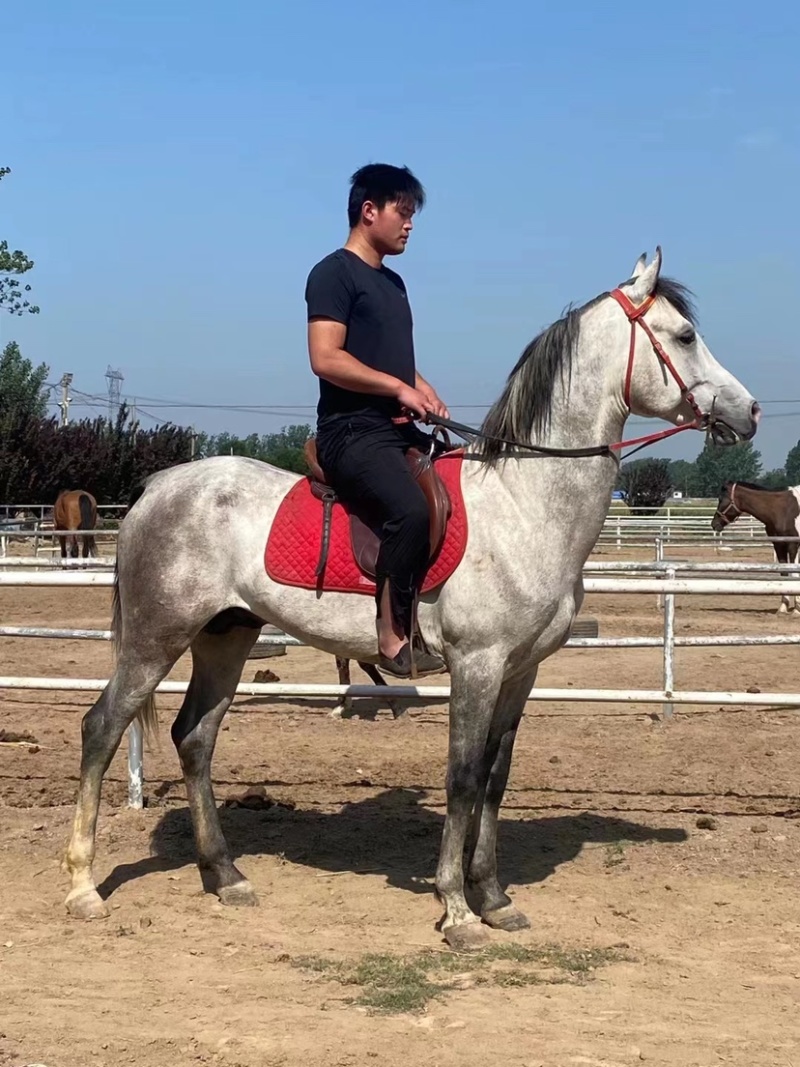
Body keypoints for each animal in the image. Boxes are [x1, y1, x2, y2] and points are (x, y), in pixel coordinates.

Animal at [63, 250, 759, 950]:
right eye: (685, 336)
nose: (750, 410)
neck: (524, 502)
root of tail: (156, 488)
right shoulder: (476, 665)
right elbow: (461, 777)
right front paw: (457, 910)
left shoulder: (522, 671)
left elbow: (495, 778)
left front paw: (494, 898)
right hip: (156, 638)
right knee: (102, 728)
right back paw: (83, 886)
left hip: (226, 636)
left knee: (195, 738)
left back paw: (225, 875)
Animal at [711, 481, 800, 613]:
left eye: (721, 499)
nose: (714, 524)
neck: (782, 510)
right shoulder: (779, 545)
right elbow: (784, 573)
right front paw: (783, 607)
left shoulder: (793, 545)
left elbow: (794, 573)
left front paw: (797, 609)